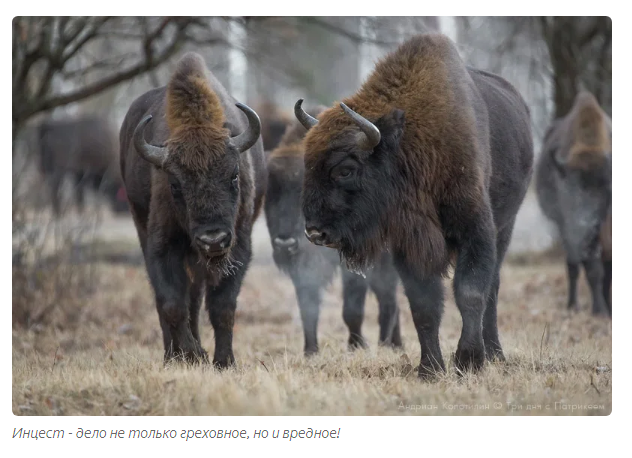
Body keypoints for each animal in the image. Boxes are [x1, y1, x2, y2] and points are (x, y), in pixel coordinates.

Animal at [119, 52, 266, 366]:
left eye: (234, 176)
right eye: (175, 185)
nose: (213, 239)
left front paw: (224, 361)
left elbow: (223, 307)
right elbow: (172, 304)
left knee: (196, 297)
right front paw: (192, 354)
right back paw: (172, 356)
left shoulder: (238, 246)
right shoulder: (162, 245)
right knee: (175, 300)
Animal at [264, 106, 402, 354]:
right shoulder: (304, 270)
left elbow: (352, 310)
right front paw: (310, 351)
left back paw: (385, 344)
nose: (285, 244)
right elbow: (308, 309)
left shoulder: (354, 266)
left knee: (389, 300)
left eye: (301, 188)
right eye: (270, 192)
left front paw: (356, 347)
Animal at [296, 34, 532, 378]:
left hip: (506, 227)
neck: (408, 144)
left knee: (493, 288)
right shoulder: (410, 246)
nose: (315, 232)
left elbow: (471, 292)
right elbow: (424, 307)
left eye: (345, 169)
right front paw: (430, 369)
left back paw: (495, 354)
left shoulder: (476, 230)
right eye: (307, 165)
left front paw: (468, 361)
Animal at [532, 91, 612, 316]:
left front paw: (604, 309)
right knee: (574, 266)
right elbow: (590, 268)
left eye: (605, 187)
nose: (584, 223)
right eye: (569, 189)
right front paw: (599, 311)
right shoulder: (568, 227)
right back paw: (573, 305)